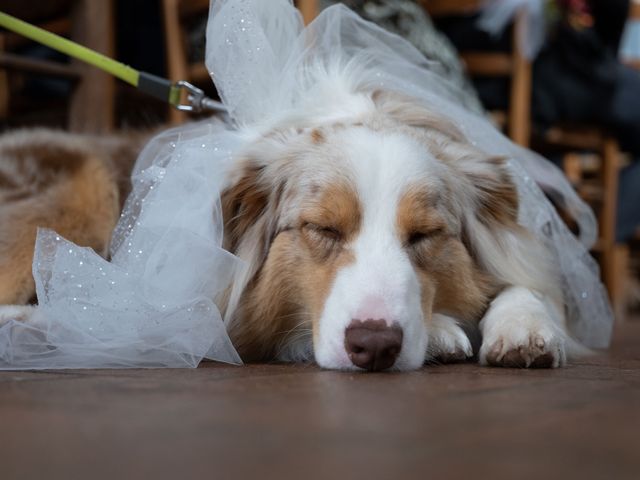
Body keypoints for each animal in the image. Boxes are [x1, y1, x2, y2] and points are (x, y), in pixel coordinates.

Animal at [0, 83, 576, 372]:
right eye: (322, 228)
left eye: (424, 236)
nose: (374, 346)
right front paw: (439, 331)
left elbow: (526, 281)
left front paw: (523, 327)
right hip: (82, 191)